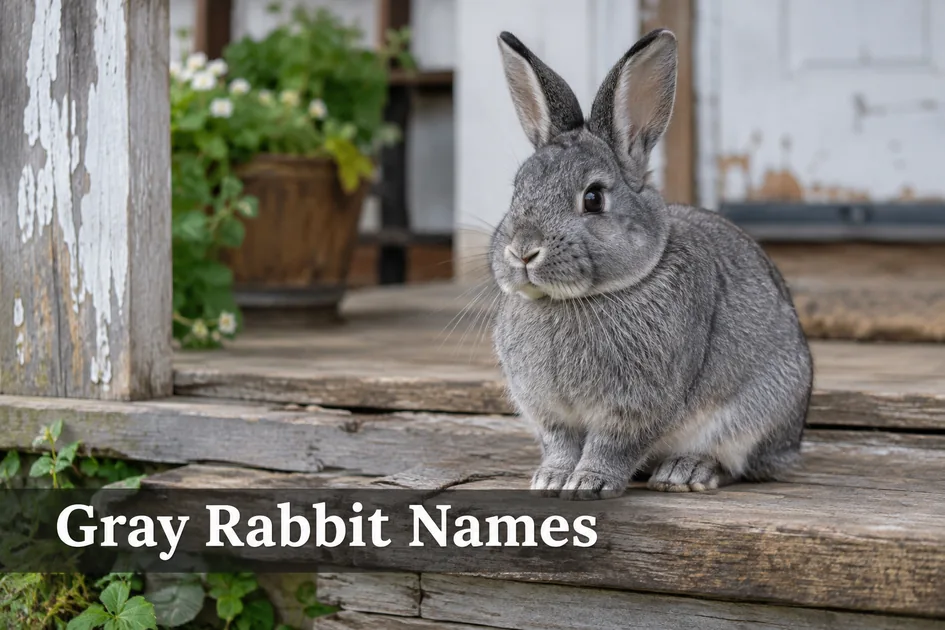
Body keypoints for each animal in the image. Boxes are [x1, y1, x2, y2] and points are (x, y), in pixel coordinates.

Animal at [489, 29, 813, 500]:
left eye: (593, 198)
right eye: (517, 190)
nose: (523, 250)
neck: (576, 300)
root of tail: (791, 444)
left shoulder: (635, 406)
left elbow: (612, 445)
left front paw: (587, 483)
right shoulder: (552, 413)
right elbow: (562, 444)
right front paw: (551, 479)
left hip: (757, 413)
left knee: (736, 463)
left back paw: (685, 471)